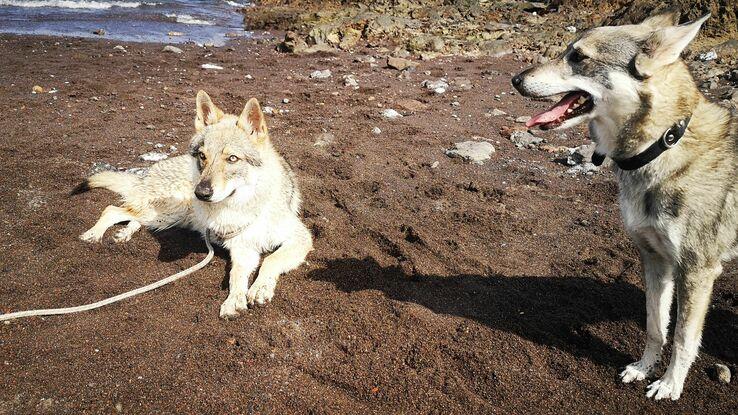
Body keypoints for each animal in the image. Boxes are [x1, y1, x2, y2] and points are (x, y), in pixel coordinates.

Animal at [77, 90, 310, 318]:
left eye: (232, 159)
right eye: (202, 156)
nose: (201, 193)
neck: (243, 206)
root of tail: (146, 173)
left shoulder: (299, 238)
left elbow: (270, 261)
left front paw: (257, 290)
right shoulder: (242, 249)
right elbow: (236, 276)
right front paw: (235, 300)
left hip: (165, 218)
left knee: (129, 216)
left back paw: (123, 234)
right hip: (170, 212)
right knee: (112, 209)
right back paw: (94, 234)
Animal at [512, 11, 736, 402]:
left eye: (578, 56)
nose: (515, 80)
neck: (664, 144)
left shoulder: (698, 271)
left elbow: (682, 338)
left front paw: (670, 384)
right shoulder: (655, 259)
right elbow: (655, 326)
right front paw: (644, 369)